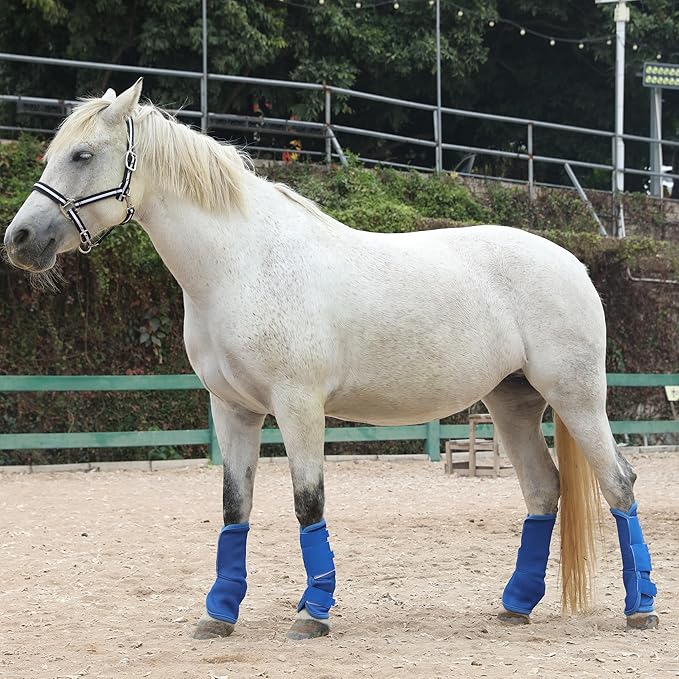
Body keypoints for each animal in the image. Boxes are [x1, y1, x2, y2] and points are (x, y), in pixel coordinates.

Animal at [4, 80, 659, 640]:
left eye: (83, 155)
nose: (19, 239)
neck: (243, 264)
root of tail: (572, 263)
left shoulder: (298, 407)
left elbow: (307, 501)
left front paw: (312, 613)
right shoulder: (233, 411)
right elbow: (235, 507)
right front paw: (219, 613)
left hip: (575, 398)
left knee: (619, 483)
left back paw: (640, 608)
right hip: (513, 403)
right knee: (543, 492)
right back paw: (515, 605)